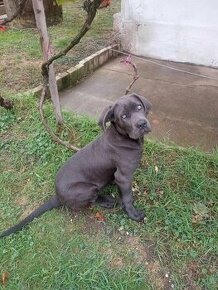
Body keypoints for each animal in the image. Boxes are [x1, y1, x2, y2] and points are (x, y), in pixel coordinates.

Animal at [0, 93, 151, 238]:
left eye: (139, 107)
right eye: (123, 116)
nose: (142, 123)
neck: (124, 137)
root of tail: (57, 196)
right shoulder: (123, 176)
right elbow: (127, 197)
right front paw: (133, 214)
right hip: (87, 189)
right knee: (93, 199)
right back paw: (107, 201)